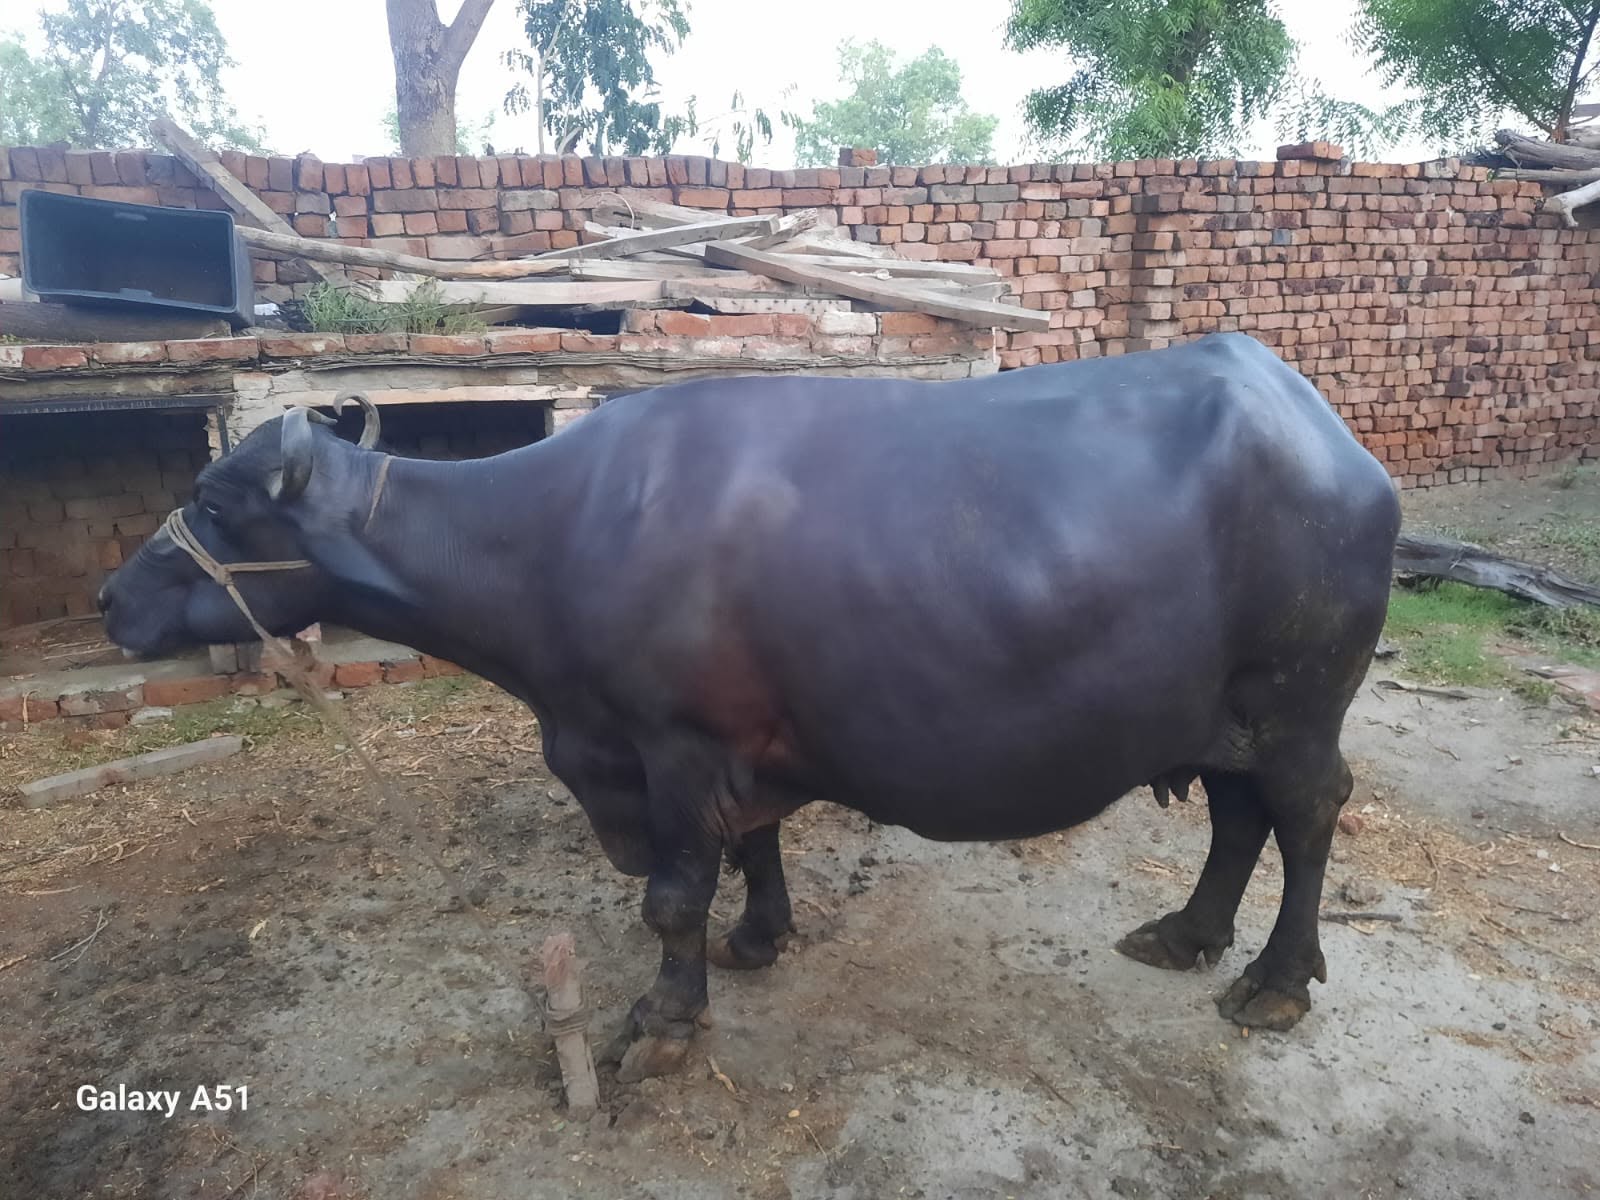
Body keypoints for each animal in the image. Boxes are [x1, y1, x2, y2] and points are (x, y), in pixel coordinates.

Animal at [100, 332, 1401, 1080]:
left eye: (212, 503)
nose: (112, 599)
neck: (556, 539)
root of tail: (1319, 426)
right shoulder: (738, 747)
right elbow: (753, 847)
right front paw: (762, 937)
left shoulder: (669, 748)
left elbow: (673, 898)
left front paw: (663, 1024)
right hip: (1219, 714)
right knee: (1237, 818)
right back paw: (1187, 934)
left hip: (1297, 705)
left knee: (1306, 815)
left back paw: (1275, 981)